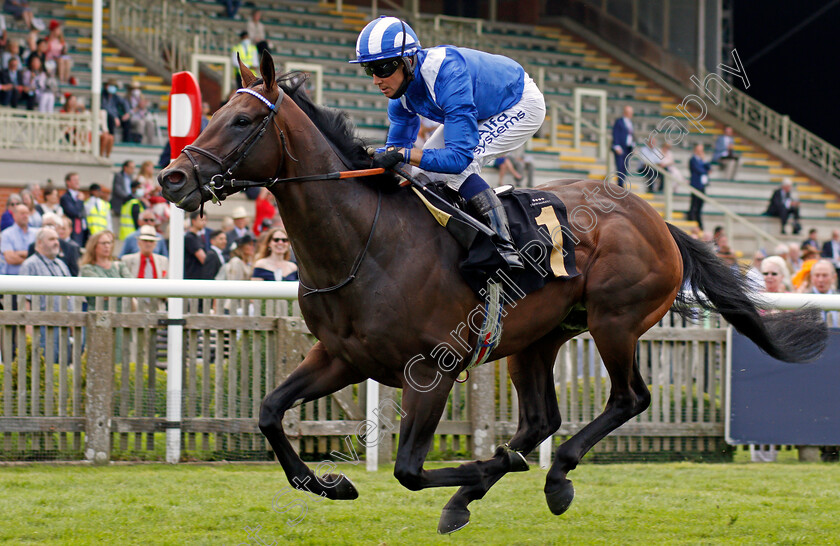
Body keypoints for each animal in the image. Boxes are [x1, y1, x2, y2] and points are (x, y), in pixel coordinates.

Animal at [159, 55, 828, 532]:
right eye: (211, 113)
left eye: (243, 120)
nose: (172, 175)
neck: (364, 242)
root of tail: (658, 219)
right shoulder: (342, 356)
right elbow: (270, 411)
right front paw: (333, 484)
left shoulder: (432, 369)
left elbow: (407, 470)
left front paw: (489, 466)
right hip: (539, 337)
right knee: (541, 418)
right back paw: (486, 489)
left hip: (615, 321)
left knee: (628, 398)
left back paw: (550, 476)